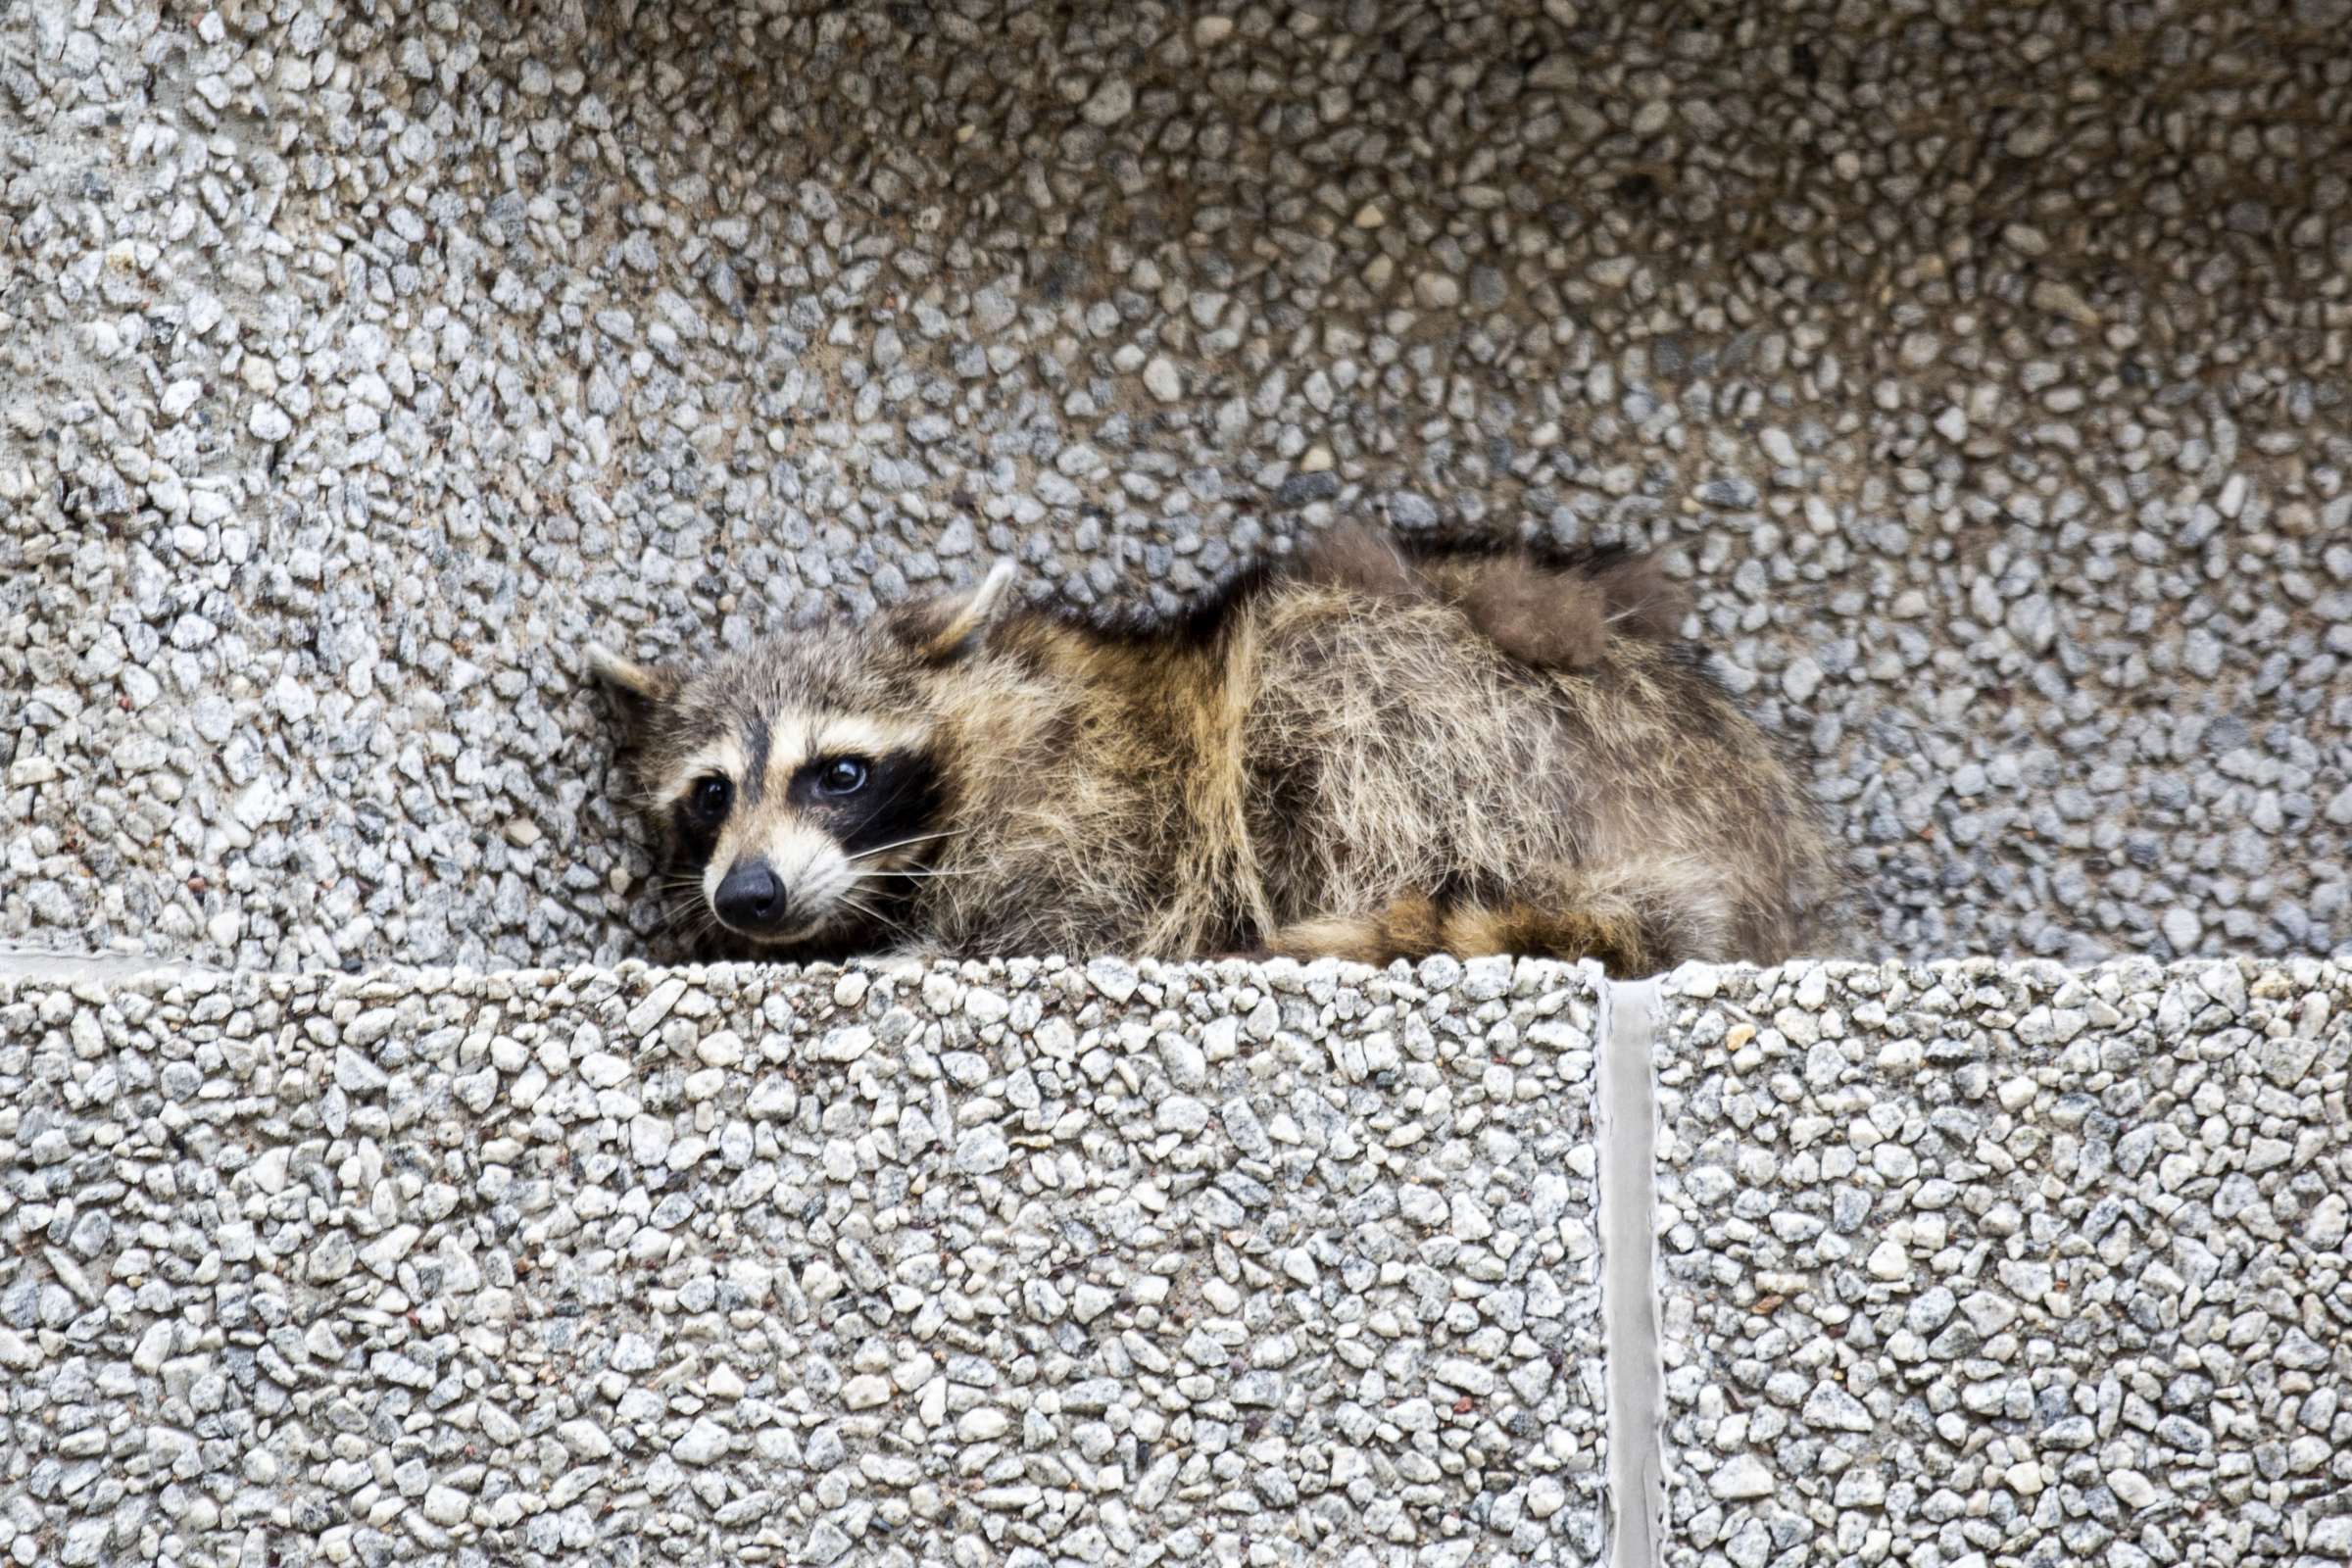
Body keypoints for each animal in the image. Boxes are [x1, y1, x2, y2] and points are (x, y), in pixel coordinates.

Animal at [589, 528, 1844, 975]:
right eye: (709, 794)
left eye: (838, 773)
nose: (749, 895)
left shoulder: (1095, 815)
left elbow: (1067, 919)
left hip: (1467, 725)